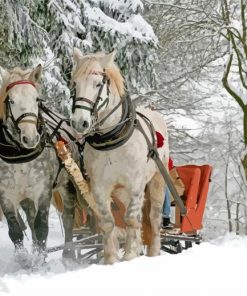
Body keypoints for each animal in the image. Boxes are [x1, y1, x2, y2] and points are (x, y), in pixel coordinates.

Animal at [0, 64, 78, 264]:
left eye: (36, 99)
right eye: (11, 101)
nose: (31, 138)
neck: (21, 154)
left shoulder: (43, 191)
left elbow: (42, 227)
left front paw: (41, 263)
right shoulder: (6, 195)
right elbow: (16, 231)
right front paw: (24, 259)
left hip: (67, 184)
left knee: (68, 216)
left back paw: (68, 254)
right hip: (26, 196)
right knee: (30, 218)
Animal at [70, 48, 169, 264]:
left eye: (98, 84)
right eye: (74, 84)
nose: (80, 122)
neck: (111, 141)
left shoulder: (136, 184)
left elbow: (131, 219)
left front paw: (130, 255)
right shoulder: (99, 187)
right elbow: (108, 222)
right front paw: (110, 259)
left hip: (157, 179)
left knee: (154, 218)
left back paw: (153, 252)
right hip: (122, 191)